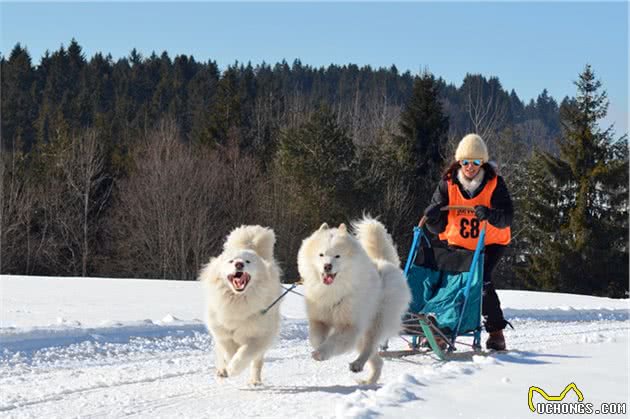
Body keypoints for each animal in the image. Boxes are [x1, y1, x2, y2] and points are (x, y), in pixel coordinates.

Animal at [200, 226, 282, 388]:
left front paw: (234, 368)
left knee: (257, 363)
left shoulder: (258, 336)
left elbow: (244, 353)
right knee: (220, 352)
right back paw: (222, 370)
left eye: (248, 261)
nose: (239, 264)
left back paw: (255, 381)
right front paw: (227, 367)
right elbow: (228, 350)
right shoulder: (222, 332)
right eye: (231, 261)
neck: (237, 300)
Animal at [298, 218, 412, 386]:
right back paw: (369, 380)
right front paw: (319, 347)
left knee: (369, 347)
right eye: (321, 254)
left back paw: (358, 364)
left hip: (376, 322)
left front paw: (321, 353)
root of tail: (385, 262)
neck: (333, 290)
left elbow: (334, 341)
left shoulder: (350, 325)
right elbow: (316, 338)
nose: (327, 266)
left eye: (337, 256)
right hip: (363, 334)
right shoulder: (319, 319)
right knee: (377, 360)